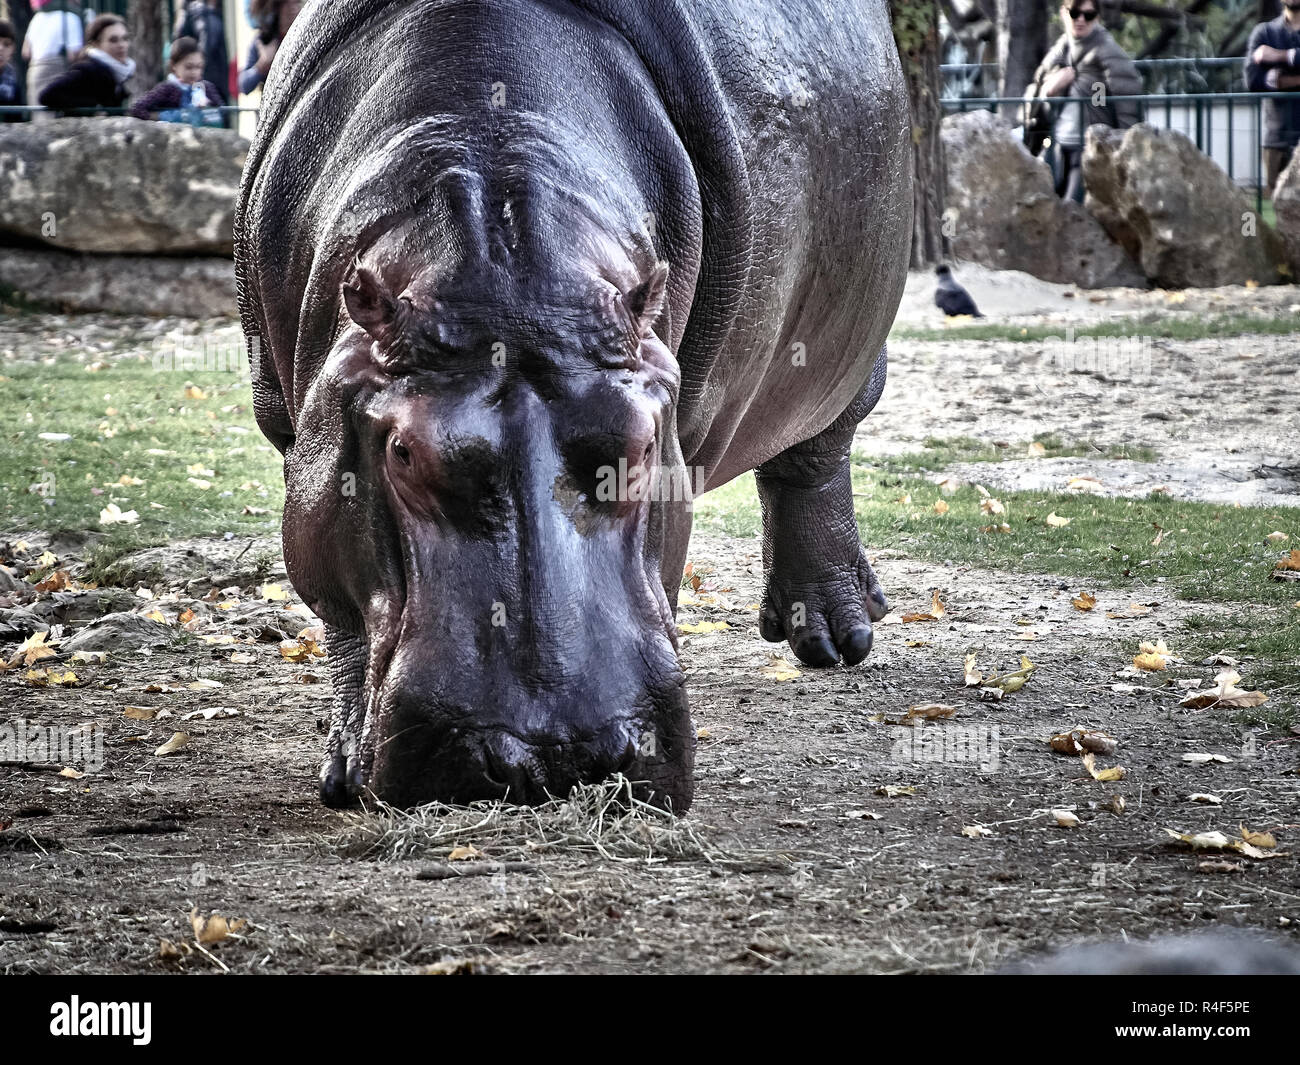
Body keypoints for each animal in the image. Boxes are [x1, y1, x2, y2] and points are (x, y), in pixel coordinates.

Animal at [234, 0, 912, 812]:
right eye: (401, 452)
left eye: (644, 446)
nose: (550, 752)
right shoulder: (298, 433)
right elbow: (338, 607)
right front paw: (343, 773)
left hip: (853, 355)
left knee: (815, 458)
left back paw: (838, 637)